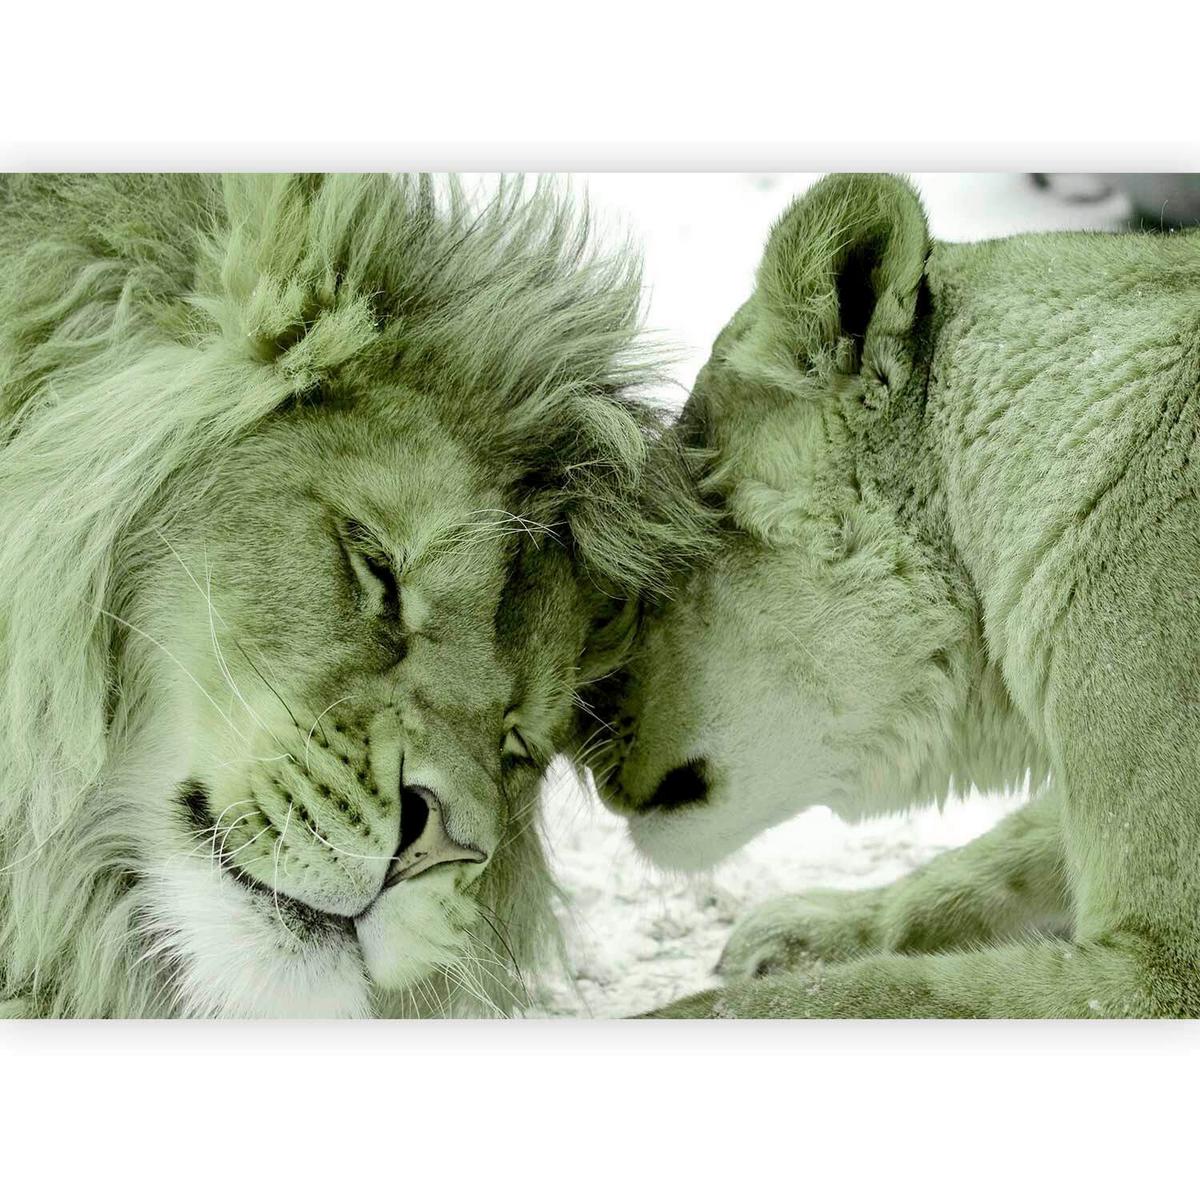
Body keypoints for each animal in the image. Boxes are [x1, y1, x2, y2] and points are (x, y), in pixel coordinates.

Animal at [582, 173, 1200, 1018]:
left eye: (658, 562)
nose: (575, 734)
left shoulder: (1164, 971)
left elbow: (865, 994)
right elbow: (993, 859)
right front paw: (801, 929)